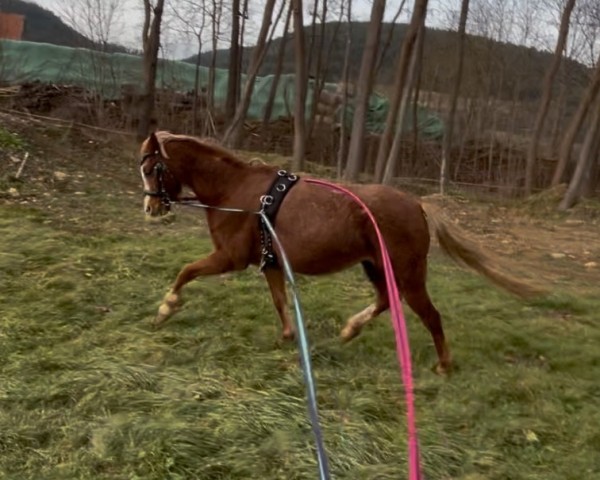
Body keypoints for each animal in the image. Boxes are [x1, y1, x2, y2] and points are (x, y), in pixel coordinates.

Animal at [142, 132, 540, 376]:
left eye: (149, 168)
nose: (151, 209)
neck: (239, 193)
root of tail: (417, 205)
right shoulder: (270, 263)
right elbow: (280, 300)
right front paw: (288, 335)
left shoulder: (229, 258)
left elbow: (185, 271)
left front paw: (165, 308)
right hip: (375, 267)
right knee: (385, 300)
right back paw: (350, 330)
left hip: (408, 274)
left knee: (430, 315)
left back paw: (443, 364)